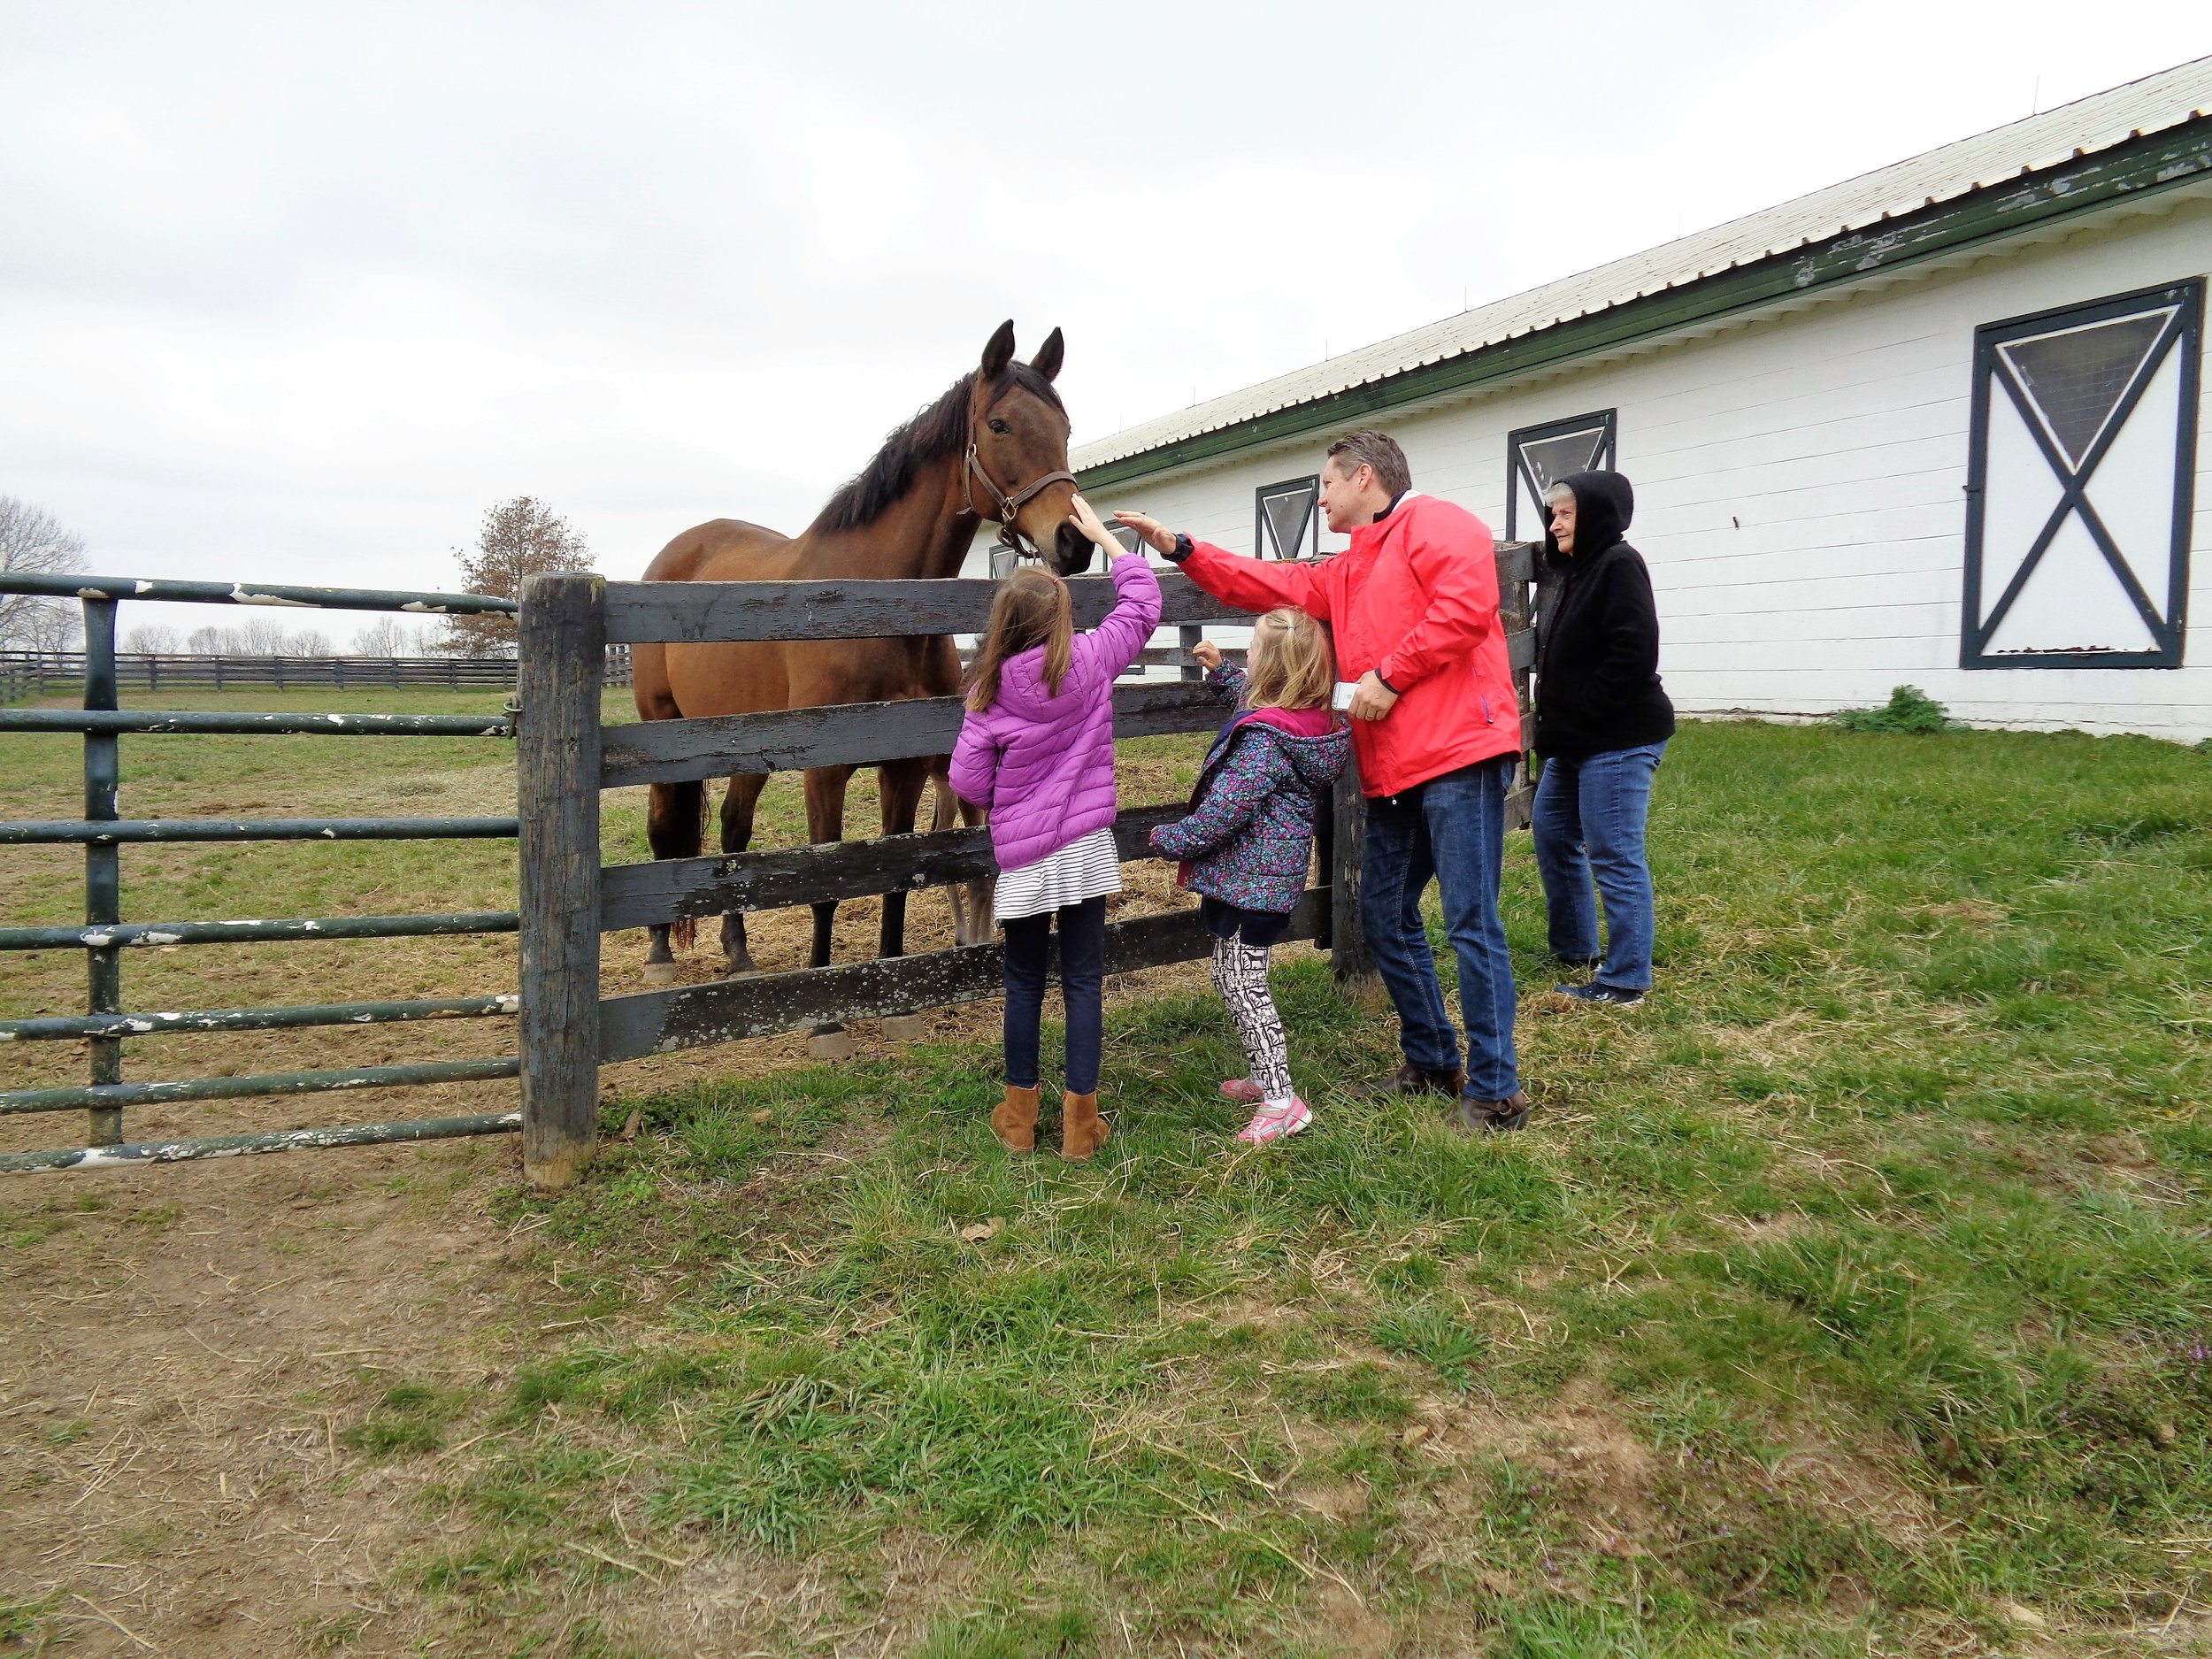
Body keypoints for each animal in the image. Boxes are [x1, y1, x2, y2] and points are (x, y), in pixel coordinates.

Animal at [629, 321, 1093, 1057]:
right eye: (999, 425)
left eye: (1066, 427)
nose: (1074, 541)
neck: (876, 608)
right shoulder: (828, 771)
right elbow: (826, 885)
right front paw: (826, 1019)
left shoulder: (902, 767)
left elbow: (895, 877)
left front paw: (896, 1006)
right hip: (663, 736)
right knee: (662, 827)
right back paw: (659, 955)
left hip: (747, 747)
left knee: (732, 830)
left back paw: (739, 954)